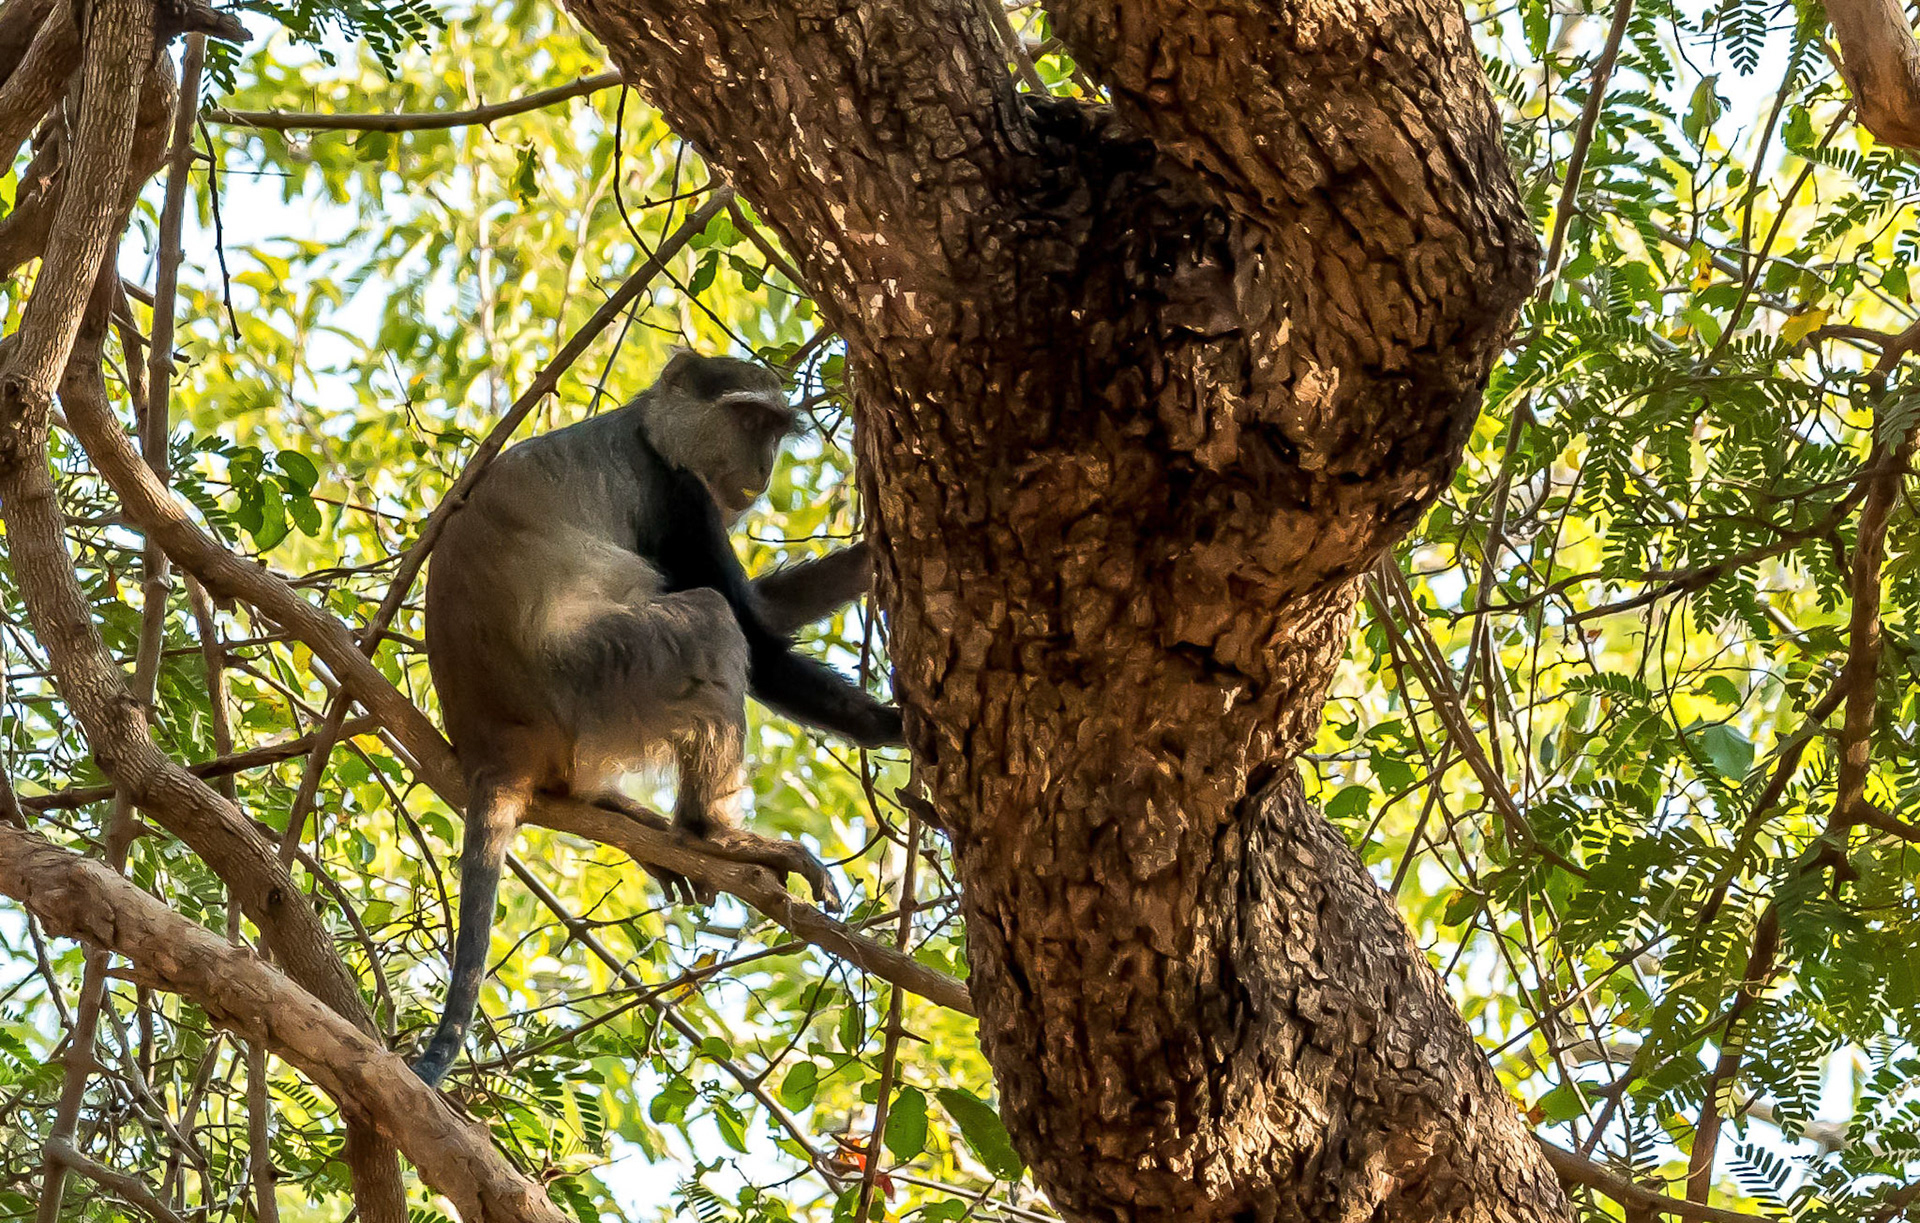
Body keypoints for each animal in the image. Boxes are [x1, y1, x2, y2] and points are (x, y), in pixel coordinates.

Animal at [412, 351, 902, 1086]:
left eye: (776, 431)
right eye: (750, 421)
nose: (763, 468)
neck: (647, 426)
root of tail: (491, 742)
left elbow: (767, 612)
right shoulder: (676, 493)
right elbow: (757, 638)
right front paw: (901, 729)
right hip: (600, 678)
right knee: (710, 619)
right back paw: (709, 833)